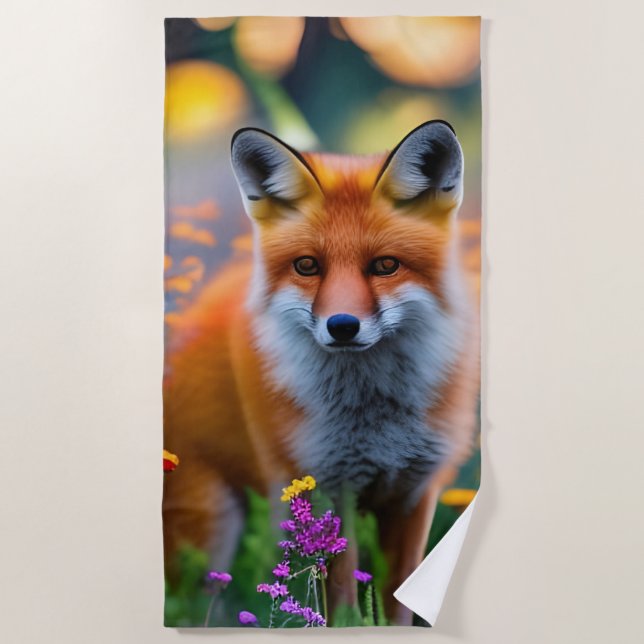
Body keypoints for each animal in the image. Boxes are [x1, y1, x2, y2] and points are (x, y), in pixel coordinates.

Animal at [163, 120, 479, 625]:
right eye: (307, 265)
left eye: (385, 265)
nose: (343, 326)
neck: (374, 418)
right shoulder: (328, 489)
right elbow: (344, 604)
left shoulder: (414, 494)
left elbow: (396, 602)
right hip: (207, 530)